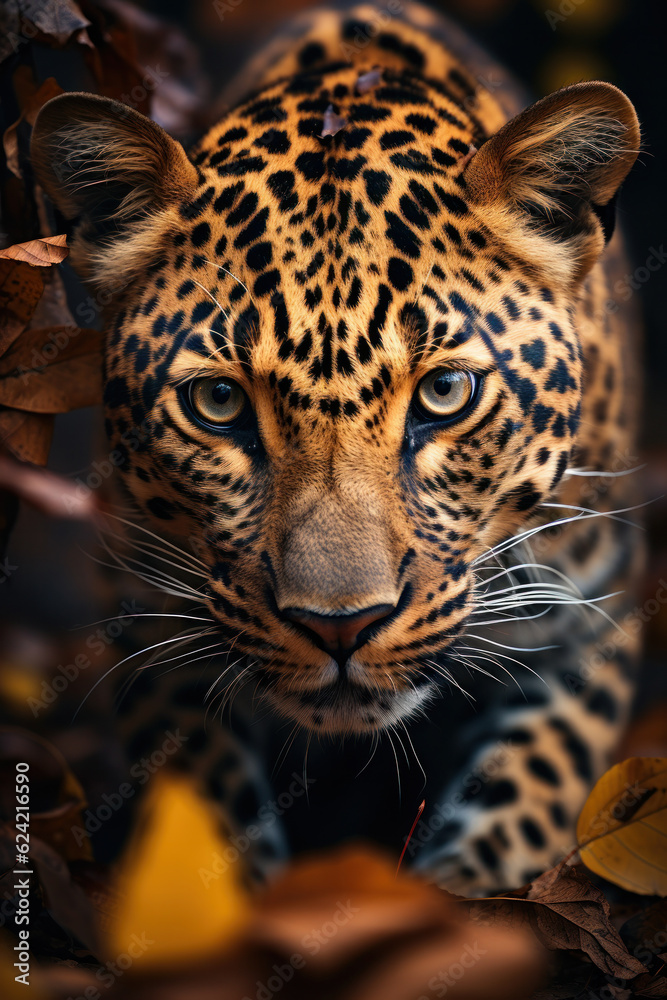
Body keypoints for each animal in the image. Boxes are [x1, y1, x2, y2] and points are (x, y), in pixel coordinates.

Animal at [31, 2, 644, 895]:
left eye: (444, 392)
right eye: (218, 403)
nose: (340, 628)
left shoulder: (597, 606)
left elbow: (535, 782)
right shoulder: (152, 612)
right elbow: (197, 803)